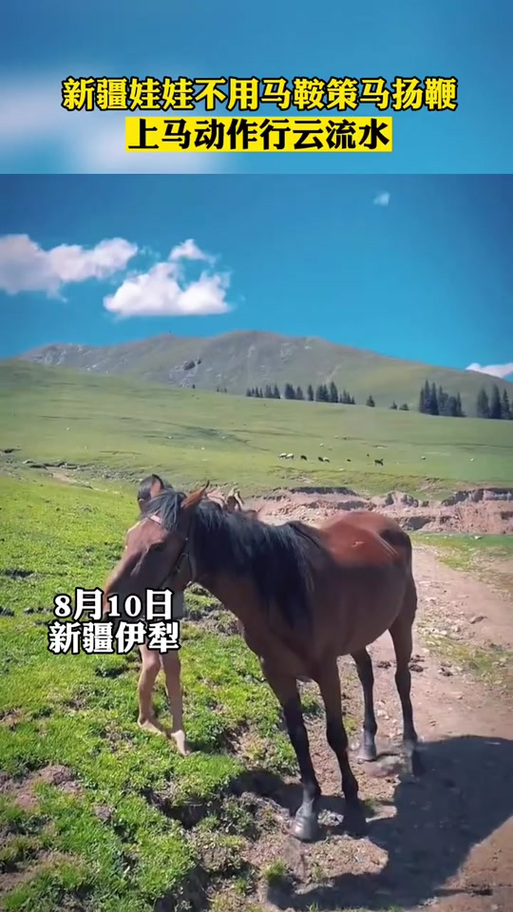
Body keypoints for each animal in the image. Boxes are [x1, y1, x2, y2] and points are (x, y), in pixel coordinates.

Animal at [103, 484, 421, 843]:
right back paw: (368, 743)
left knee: (402, 680)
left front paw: (353, 805)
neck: (285, 590)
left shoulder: (326, 670)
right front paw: (309, 810)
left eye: (158, 546)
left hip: (401, 622)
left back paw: (412, 751)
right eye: (131, 536)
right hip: (359, 635)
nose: (107, 607)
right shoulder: (275, 672)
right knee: (367, 673)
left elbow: (335, 735)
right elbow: (298, 737)